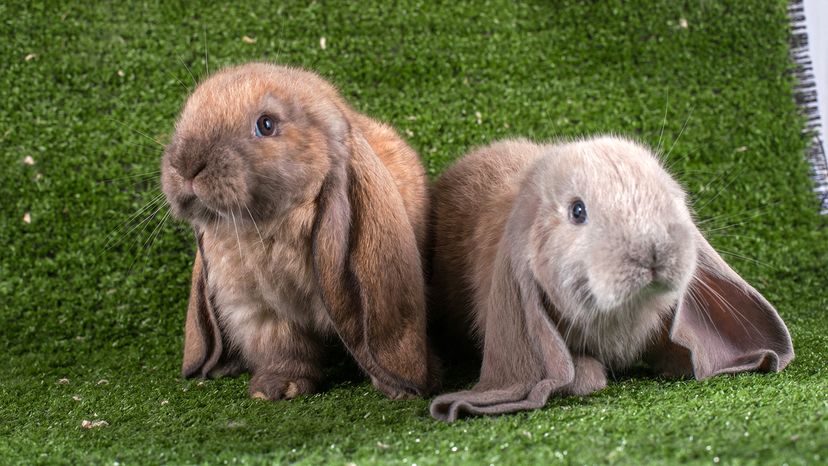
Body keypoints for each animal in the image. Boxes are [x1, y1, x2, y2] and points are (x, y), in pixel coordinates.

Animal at [160, 62, 438, 401]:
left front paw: (398, 392)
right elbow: (283, 348)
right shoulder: (263, 310)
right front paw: (277, 389)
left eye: (266, 124)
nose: (187, 165)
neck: (263, 229)